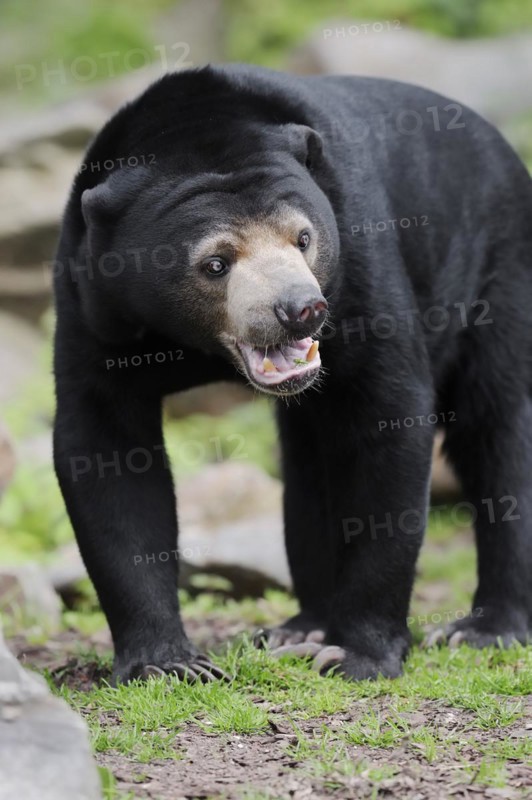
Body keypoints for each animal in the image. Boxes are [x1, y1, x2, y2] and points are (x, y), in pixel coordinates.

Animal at [52, 64, 532, 683]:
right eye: (216, 262)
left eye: (304, 238)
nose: (302, 309)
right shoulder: (94, 305)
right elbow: (106, 450)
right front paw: (169, 664)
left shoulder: (361, 260)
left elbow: (387, 417)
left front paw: (358, 655)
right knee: (309, 464)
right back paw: (301, 626)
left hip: (500, 270)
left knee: (498, 429)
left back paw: (486, 628)